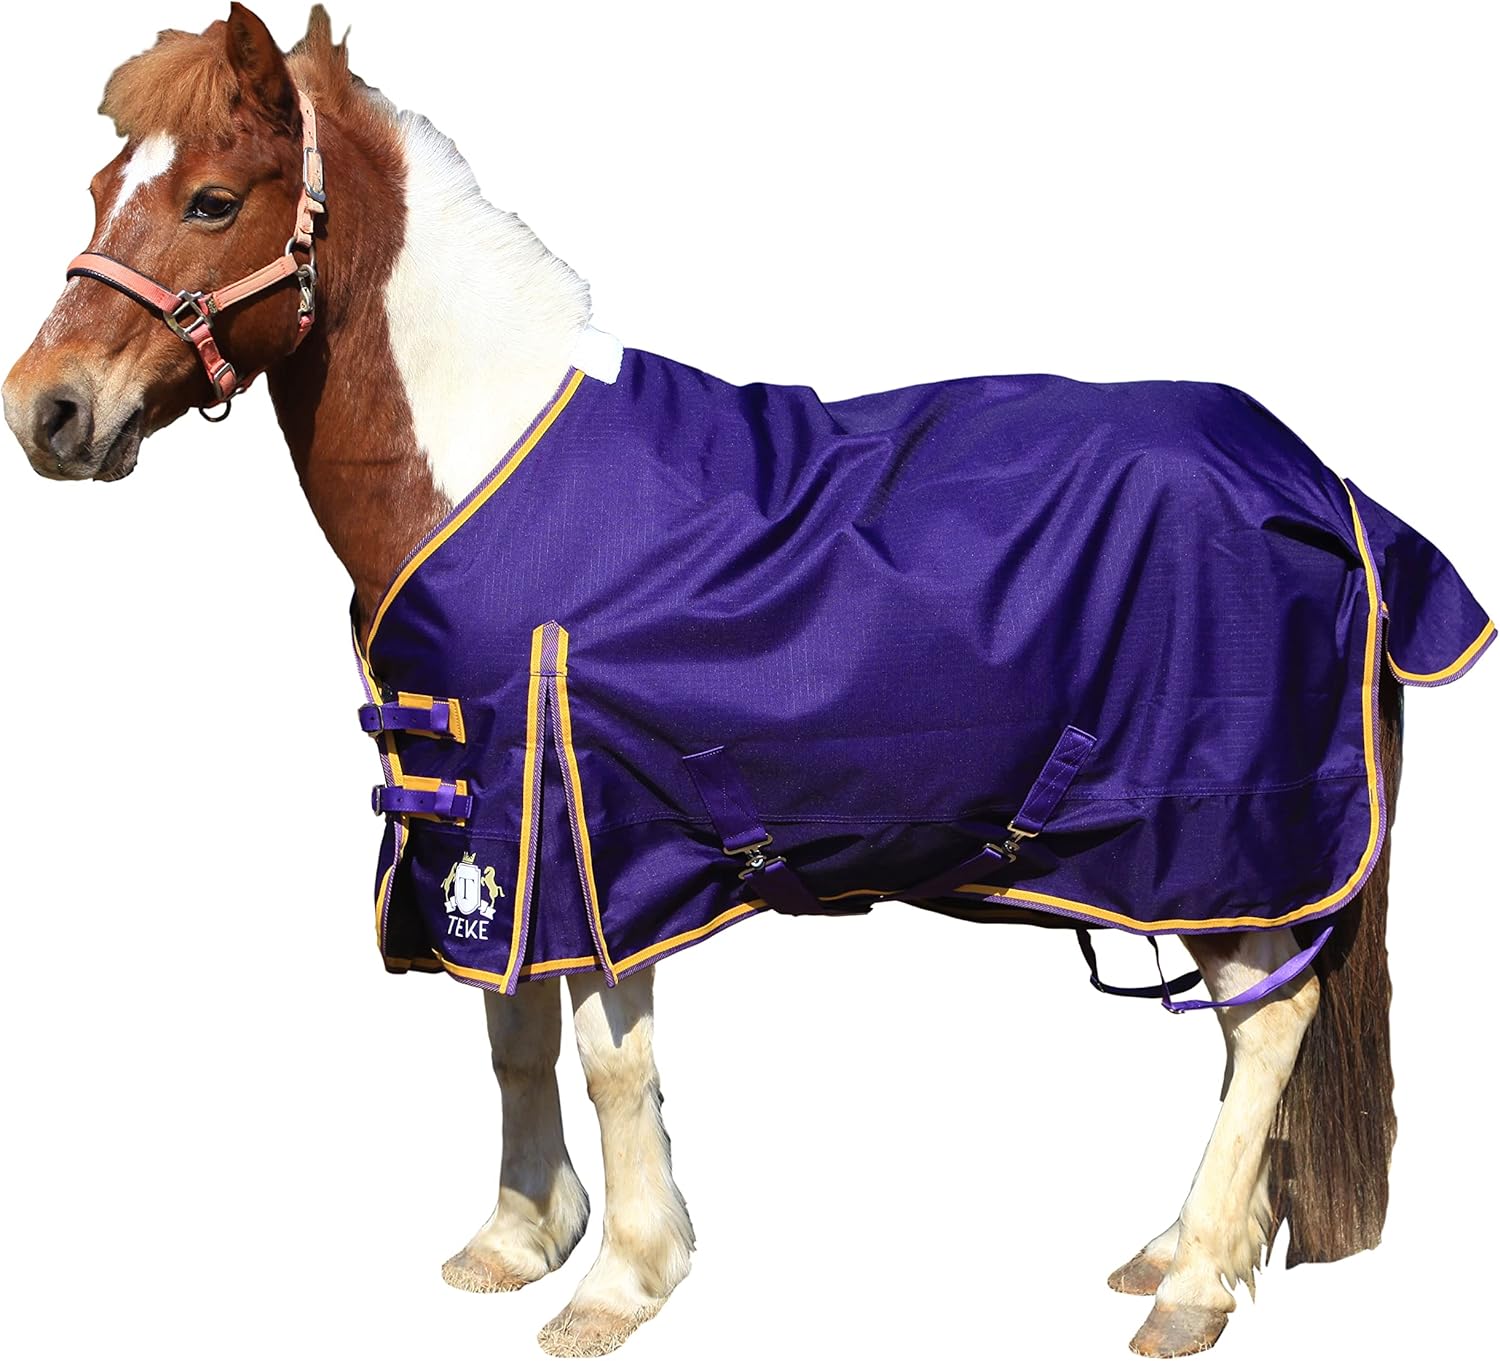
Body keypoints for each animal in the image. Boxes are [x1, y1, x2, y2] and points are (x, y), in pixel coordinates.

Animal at [3, 7, 1493, 1357]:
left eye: (211, 200)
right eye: (97, 188)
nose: (46, 411)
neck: (485, 460)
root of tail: (1323, 485)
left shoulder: (598, 832)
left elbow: (611, 1062)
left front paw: (618, 1284)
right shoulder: (486, 818)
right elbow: (511, 1031)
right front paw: (518, 1240)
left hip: (1228, 827)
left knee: (1270, 1021)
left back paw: (1189, 1282)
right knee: (1249, 1031)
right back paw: (1177, 1248)